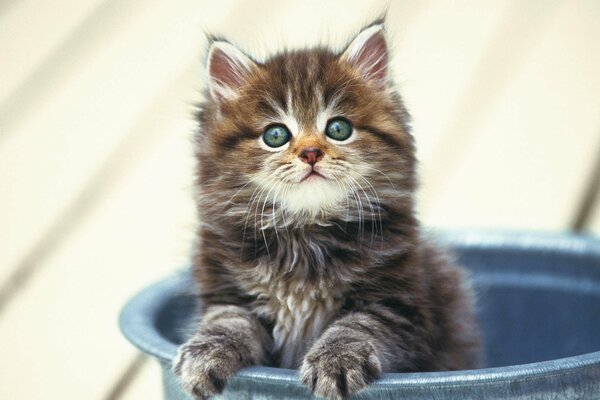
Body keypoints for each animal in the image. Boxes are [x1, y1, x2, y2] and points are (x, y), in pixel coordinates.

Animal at [172, 22, 478, 400]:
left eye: (338, 129)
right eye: (275, 135)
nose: (311, 153)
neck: (304, 234)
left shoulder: (398, 306)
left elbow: (356, 327)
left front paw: (336, 361)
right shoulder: (226, 292)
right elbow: (227, 321)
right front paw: (204, 356)